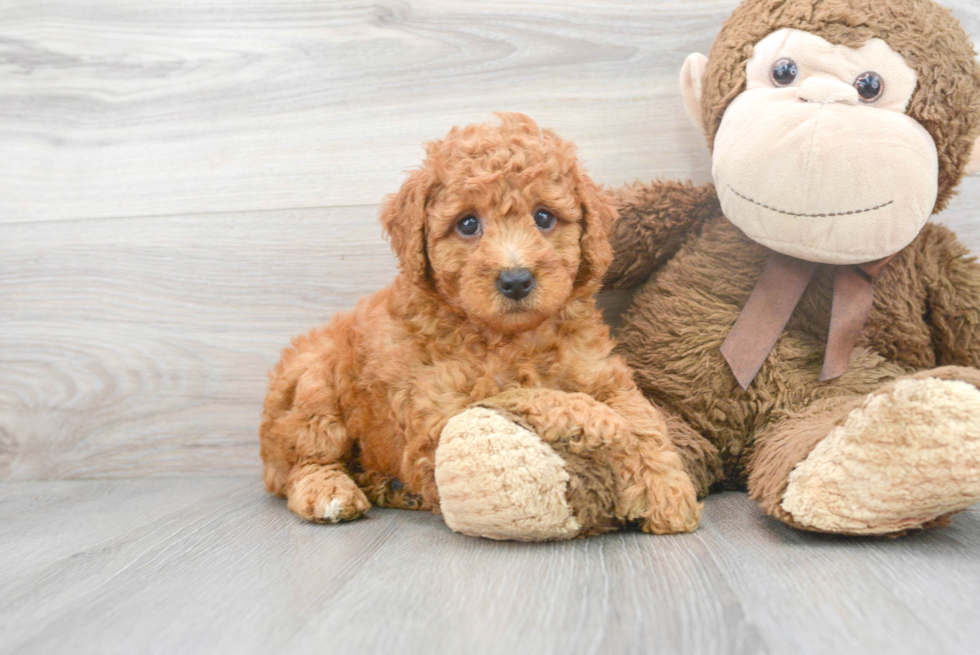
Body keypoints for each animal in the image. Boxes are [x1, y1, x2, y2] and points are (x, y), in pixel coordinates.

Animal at [260, 114, 700, 544]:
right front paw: (594, 417)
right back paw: (329, 492)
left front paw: (668, 492)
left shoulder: (601, 373)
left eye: (544, 217)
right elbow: (520, 394)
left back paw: (393, 487)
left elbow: (643, 421)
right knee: (305, 461)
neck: (513, 337)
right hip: (314, 385)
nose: (516, 280)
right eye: (467, 224)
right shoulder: (438, 414)